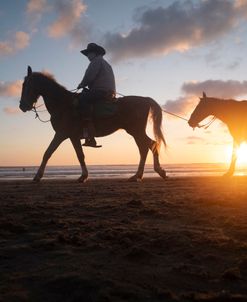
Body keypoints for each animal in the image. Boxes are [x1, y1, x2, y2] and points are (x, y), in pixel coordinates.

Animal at [18, 66, 166, 182]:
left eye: (26, 85)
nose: (22, 106)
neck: (63, 105)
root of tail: (145, 99)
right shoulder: (73, 137)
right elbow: (80, 155)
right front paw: (83, 176)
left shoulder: (62, 134)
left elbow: (48, 153)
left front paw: (38, 176)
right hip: (136, 132)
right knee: (148, 146)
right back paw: (143, 174)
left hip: (136, 131)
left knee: (147, 147)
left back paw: (145, 174)